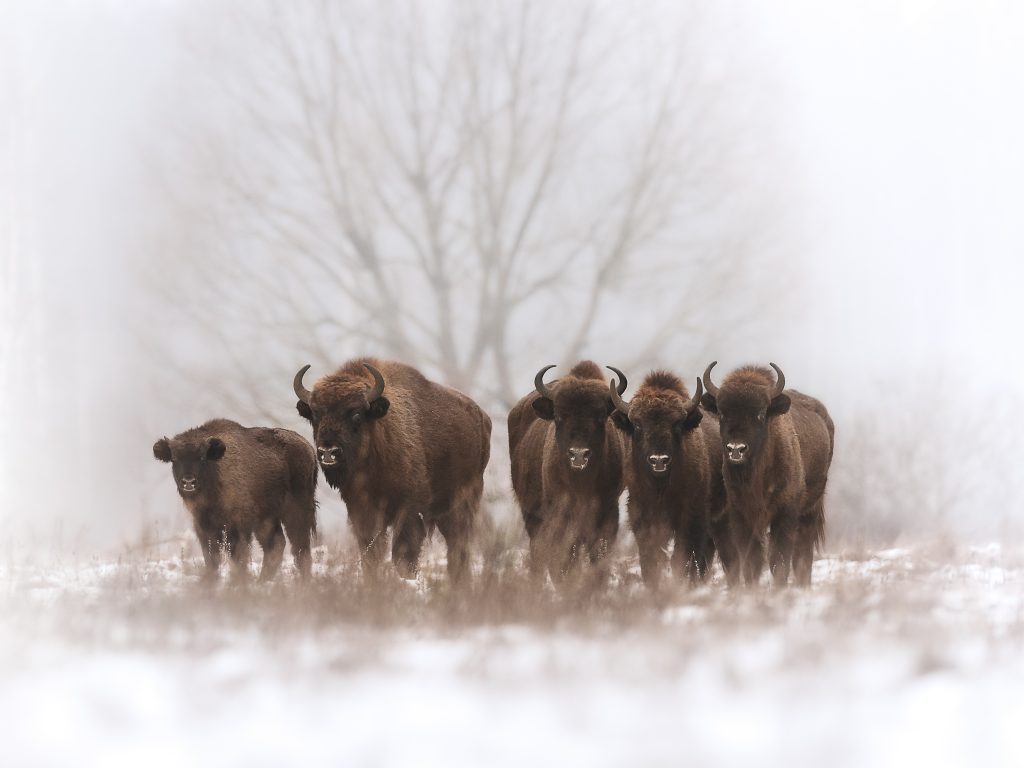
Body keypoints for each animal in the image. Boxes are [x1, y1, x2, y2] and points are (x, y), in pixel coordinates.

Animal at [151, 421, 315, 581]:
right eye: (174, 459)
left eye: (202, 458)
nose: (188, 481)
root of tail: (309, 448)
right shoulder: (204, 528)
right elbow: (211, 559)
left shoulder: (237, 527)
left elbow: (238, 558)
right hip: (267, 518)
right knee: (276, 545)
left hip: (297, 510)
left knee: (300, 547)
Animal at [292, 358, 491, 585]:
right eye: (315, 414)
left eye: (356, 413)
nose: (328, 451)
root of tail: (483, 417)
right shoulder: (361, 510)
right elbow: (371, 552)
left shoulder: (410, 509)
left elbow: (403, 554)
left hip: (462, 504)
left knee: (458, 546)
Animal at [606, 372, 729, 589]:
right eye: (637, 424)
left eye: (676, 424)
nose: (659, 460)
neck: (661, 487)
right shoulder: (643, 516)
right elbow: (652, 556)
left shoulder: (691, 517)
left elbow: (683, 555)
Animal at [700, 364, 835, 585]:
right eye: (721, 412)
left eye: (761, 413)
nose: (736, 449)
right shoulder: (741, 515)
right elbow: (751, 560)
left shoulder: (785, 513)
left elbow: (778, 560)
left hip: (811, 509)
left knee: (803, 555)